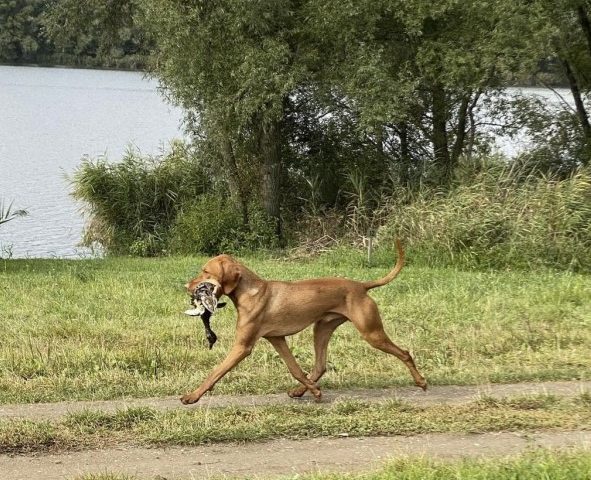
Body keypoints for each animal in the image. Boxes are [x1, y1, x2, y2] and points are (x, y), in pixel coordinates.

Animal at [180, 240, 426, 404]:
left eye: (205, 271)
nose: (186, 286)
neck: (250, 292)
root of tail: (361, 285)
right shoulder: (277, 338)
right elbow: (295, 369)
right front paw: (314, 391)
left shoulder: (242, 347)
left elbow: (216, 371)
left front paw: (192, 396)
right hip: (322, 328)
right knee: (320, 365)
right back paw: (300, 391)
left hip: (371, 332)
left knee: (405, 353)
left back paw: (421, 382)